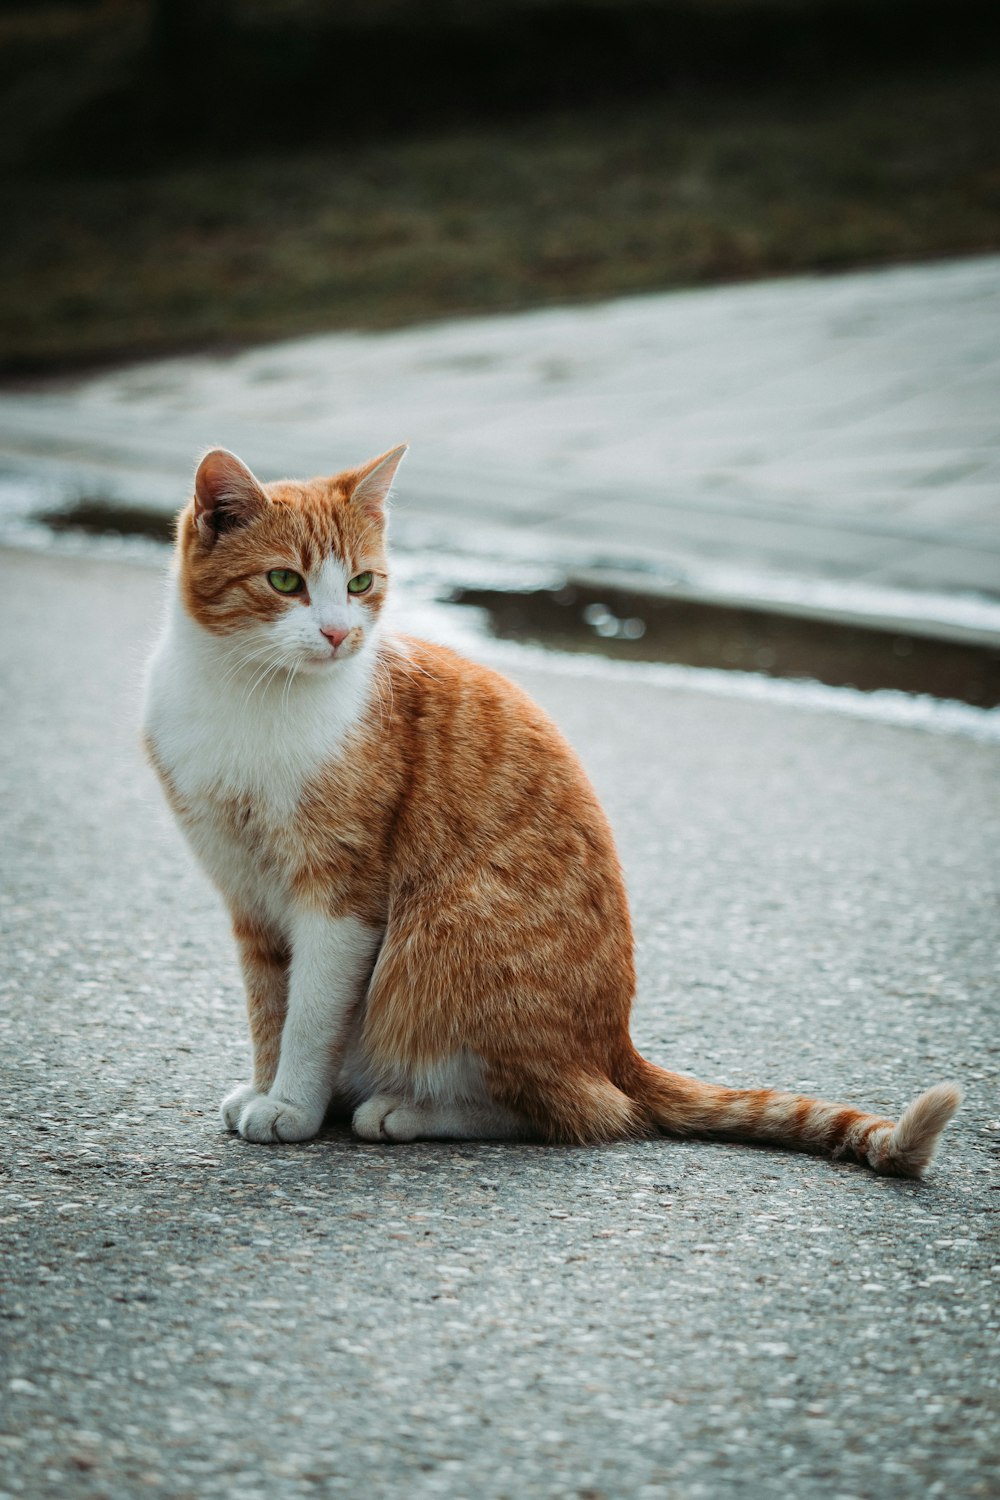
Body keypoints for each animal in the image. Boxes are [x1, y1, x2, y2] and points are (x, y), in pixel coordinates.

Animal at [142, 444, 959, 1170]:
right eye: (285, 581)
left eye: (363, 582)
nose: (340, 633)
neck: (252, 695)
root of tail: (615, 1046)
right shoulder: (248, 895)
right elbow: (268, 1007)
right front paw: (265, 1086)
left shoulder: (340, 899)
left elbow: (311, 1015)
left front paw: (293, 1105)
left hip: (443, 938)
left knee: (578, 1111)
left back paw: (407, 1111)